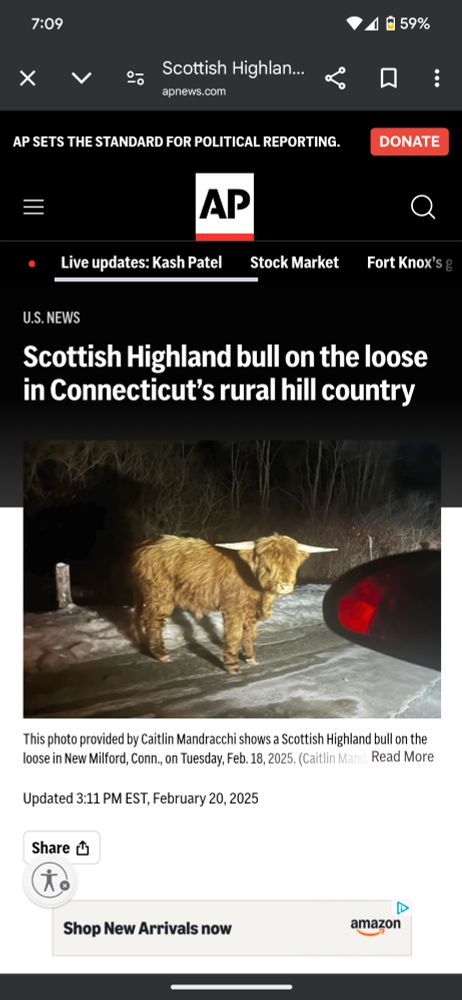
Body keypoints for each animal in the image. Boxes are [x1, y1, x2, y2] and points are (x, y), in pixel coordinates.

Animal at [131, 533, 337, 674]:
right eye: (267, 566)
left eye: (293, 565)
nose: (285, 586)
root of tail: (145, 545)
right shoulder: (233, 608)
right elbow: (234, 634)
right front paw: (232, 666)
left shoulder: (250, 610)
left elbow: (249, 633)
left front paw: (250, 658)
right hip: (160, 594)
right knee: (153, 622)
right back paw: (162, 655)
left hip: (144, 595)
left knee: (139, 617)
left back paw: (144, 646)